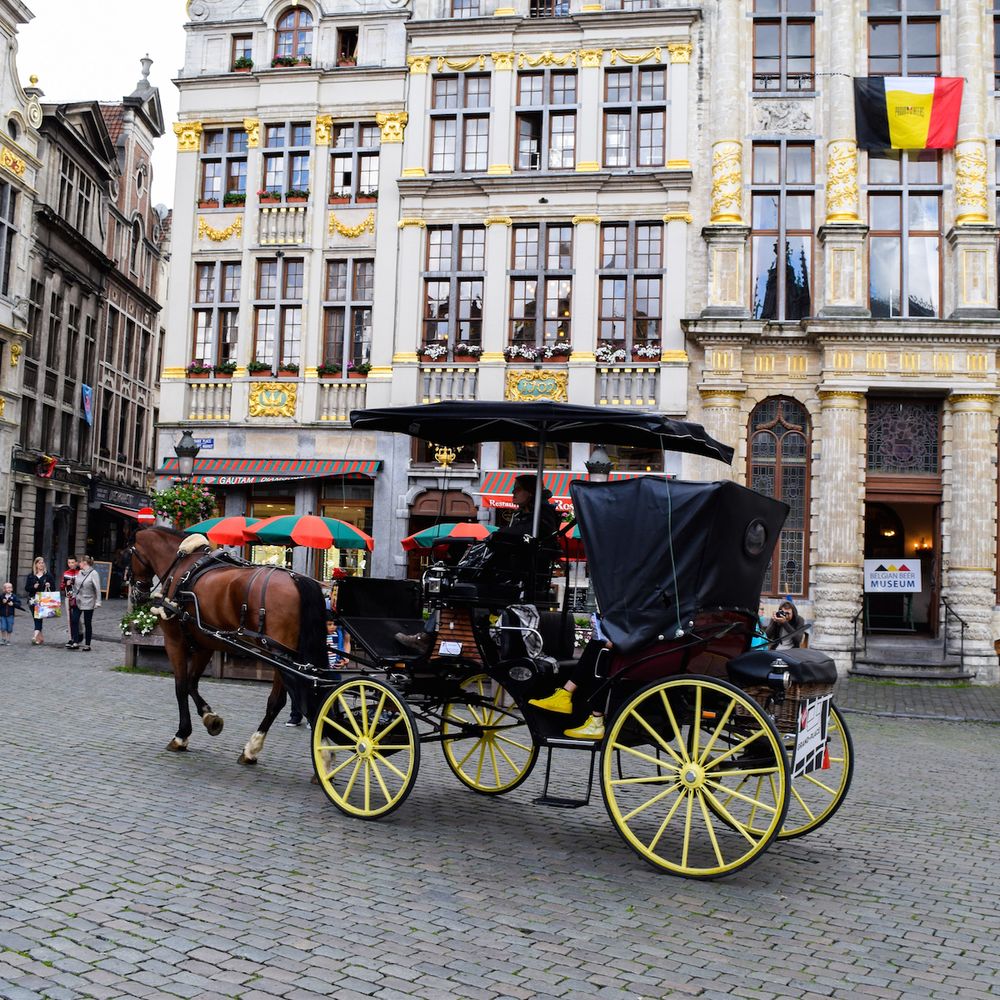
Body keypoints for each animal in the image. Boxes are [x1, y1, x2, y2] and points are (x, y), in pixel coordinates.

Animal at [125, 528, 328, 760]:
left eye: (128, 554)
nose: (137, 594)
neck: (184, 568)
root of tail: (297, 579)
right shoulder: (205, 643)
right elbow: (192, 683)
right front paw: (210, 718)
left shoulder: (174, 641)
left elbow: (181, 686)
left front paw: (181, 735)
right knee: (290, 699)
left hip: (280, 655)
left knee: (292, 698)